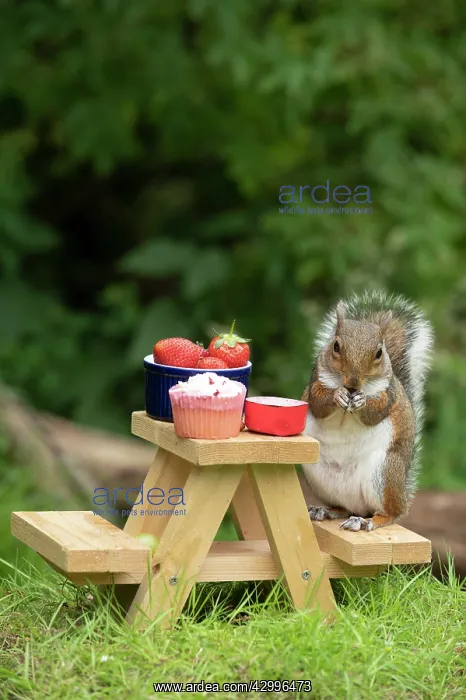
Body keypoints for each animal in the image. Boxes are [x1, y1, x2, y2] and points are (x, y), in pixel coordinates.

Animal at [301, 290, 434, 532]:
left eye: (379, 352)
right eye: (335, 346)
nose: (353, 383)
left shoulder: (388, 394)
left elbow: (375, 411)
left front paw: (363, 400)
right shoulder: (316, 381)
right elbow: (318, 402)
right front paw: (337, 395)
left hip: (384, 473)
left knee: (388, 513)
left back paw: (367, 521)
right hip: (318, 475)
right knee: (344, 507)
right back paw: (325, 510)